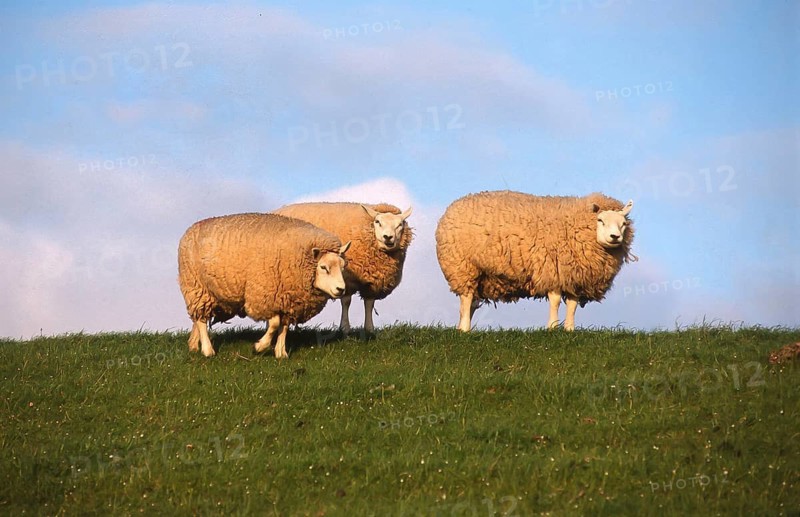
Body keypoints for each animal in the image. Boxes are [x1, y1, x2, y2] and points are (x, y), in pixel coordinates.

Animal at [178, 213, 351, 358]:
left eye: (343, 266)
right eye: (323, 267)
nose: (341, 289)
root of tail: (192, 227)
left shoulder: (287, 301)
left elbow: (284, 326)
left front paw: (281, 352)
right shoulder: (266, 296)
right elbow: (274, 324)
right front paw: (259, 346)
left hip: (206, 293)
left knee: (198, 318)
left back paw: (193, 345)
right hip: (195, 286)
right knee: (201, 320)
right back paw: (208, 350)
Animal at [273, 202, 413, 335]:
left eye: (400, 224)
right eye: (377, 222)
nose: (388, 237)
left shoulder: (373, 283)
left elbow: (369, 303)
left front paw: (369, 329)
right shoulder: (347, 279)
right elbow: (346, 302)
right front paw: (345, 328)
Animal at [435, 191, 635, 332]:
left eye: (624, 223)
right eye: (600, 220)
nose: (615, 237)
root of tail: (453, 206)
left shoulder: (574, 277)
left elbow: (572, 304)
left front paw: (569, 330)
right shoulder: (553, 270)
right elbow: (555, 301)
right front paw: (552, 327)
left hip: (481, 275)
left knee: (471, 304)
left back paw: (460, 327)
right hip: (463, 267)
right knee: (466, 298)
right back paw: (464, 329)